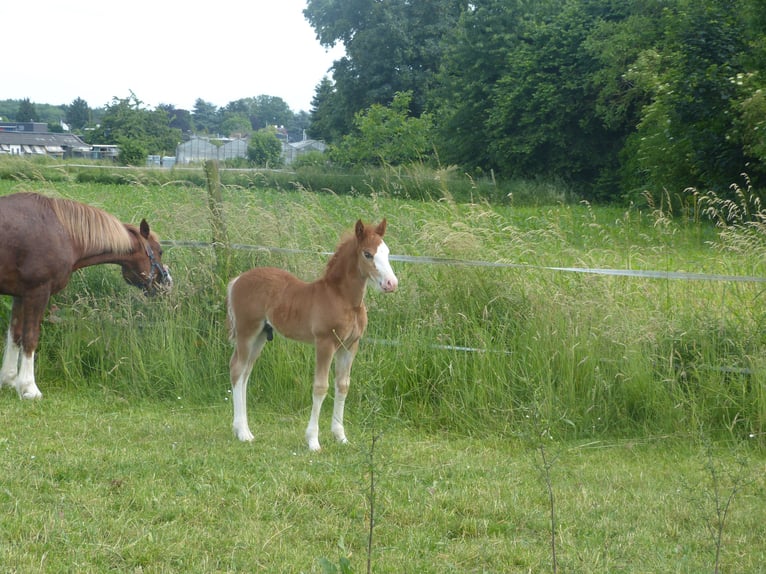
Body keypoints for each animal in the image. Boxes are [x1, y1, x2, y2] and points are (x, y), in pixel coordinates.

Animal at [0, 192, 172, 399]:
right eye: (160, 251)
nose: (167, 284)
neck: (62, 232)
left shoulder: (20, 294)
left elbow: (15, 335)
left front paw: (9, 380)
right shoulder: (38, 292)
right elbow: (30, 337)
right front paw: (29, 388)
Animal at [226, 219, 398, 451]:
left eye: (387, 252)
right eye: (367, 254)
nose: (391, 283)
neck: (343, 298)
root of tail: (237, 280)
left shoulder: (350, 345)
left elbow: (343, 385)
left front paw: (341, 436)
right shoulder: (325, 343)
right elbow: (320, 387)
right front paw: (313, 441)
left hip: (261, 335)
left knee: (245, 373)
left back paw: (243, 430)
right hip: (247, 332)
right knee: (237, 369)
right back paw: (243, 433)